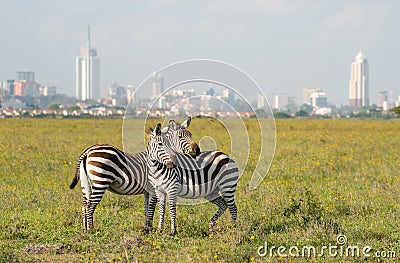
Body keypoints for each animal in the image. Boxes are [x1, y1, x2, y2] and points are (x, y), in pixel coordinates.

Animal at [69, 117, 200, 233]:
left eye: (191, 134)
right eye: (180, 137)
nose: (197, 150)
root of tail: (87, 151)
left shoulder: (147, 191)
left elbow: (147, 209)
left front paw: (146, 228)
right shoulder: (153, 189)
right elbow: (152, 208)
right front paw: (149, 229)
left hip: (86, 184)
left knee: (84, 205)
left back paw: (85, 229)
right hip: (100, 182)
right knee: (90, 206)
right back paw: (91, 230)